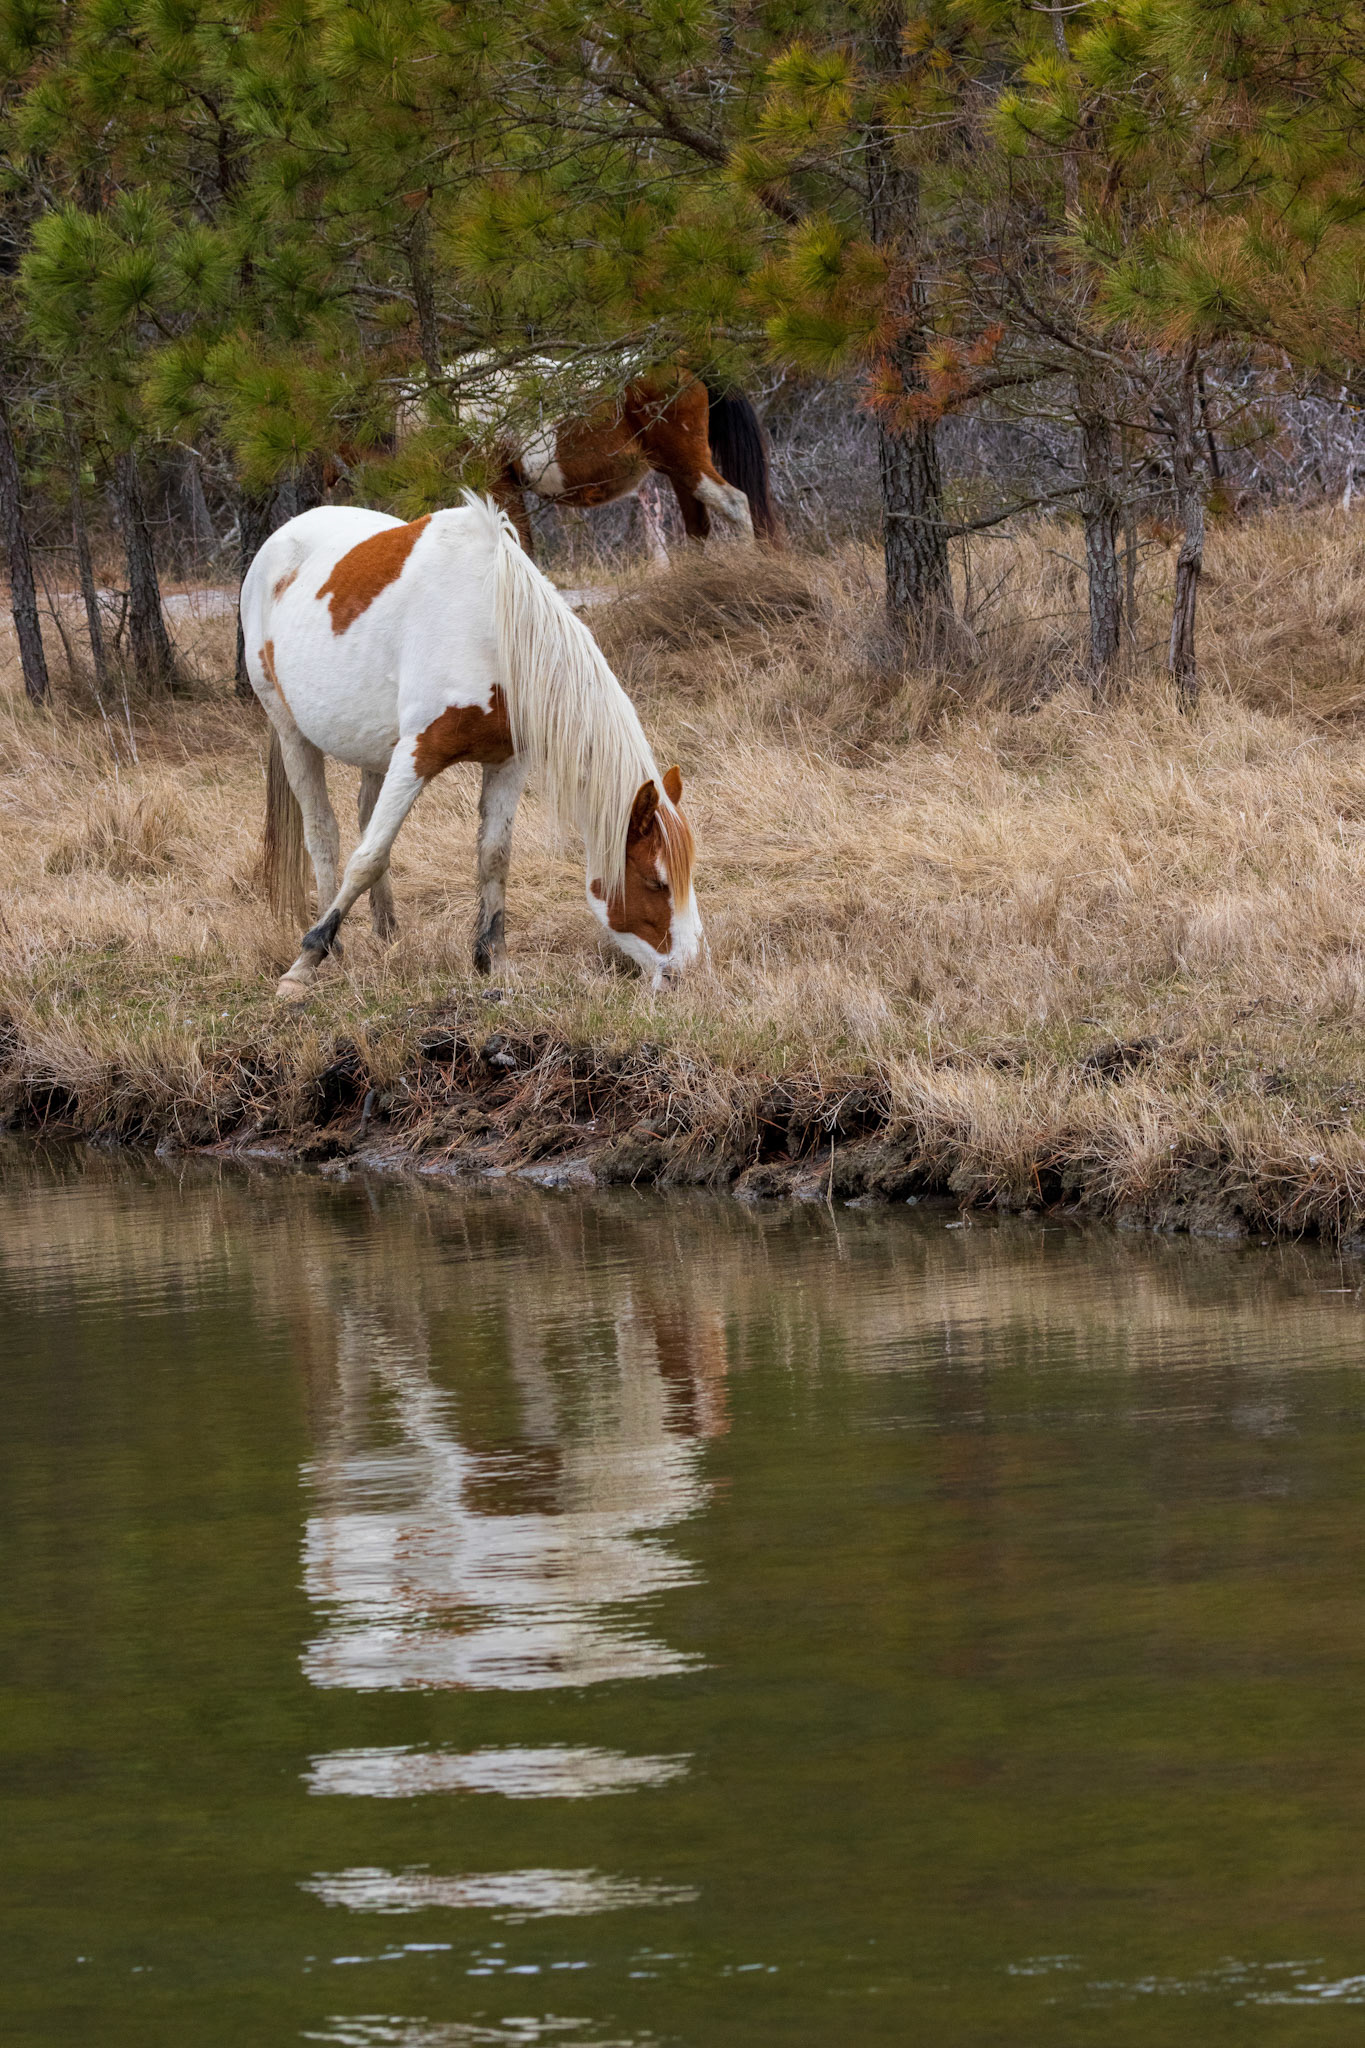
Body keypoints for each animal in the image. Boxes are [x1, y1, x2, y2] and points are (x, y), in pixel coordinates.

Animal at [240, 493, 702, 1001]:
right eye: (655, 882)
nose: (685, 972)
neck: (494, 625)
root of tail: (281, 539)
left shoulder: (508, 762)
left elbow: (494, 855)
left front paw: (493, 958)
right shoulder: (417, 755)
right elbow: (367, 858)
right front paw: (305, 960)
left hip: (374, 748)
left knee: (364, 816)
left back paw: (386, 932)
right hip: (291, 731)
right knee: (324, 832)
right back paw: (332, 948)